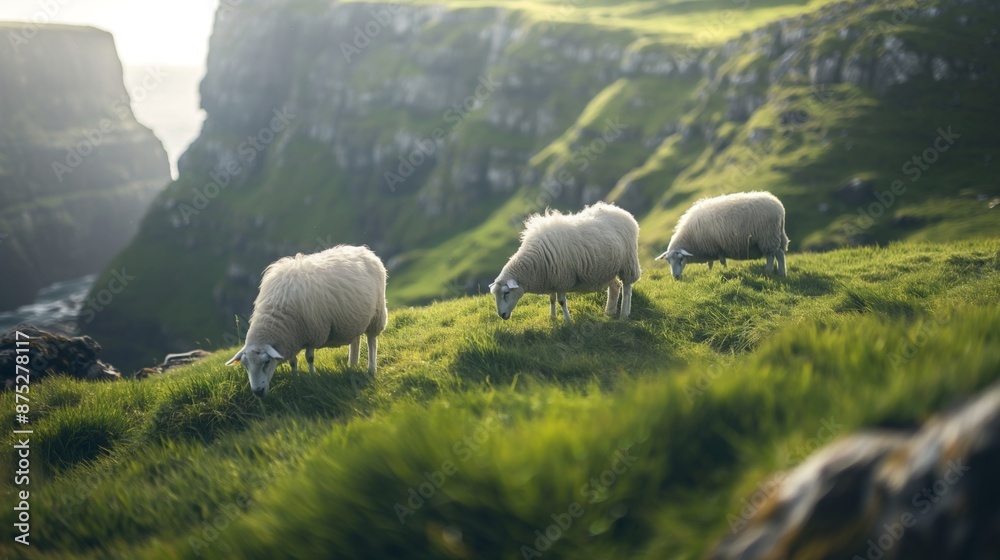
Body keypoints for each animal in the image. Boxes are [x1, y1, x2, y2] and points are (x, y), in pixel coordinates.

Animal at [226, 245, 388, 397]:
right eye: (245, 365)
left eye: (266, 362)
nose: (257, 392)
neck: (278, 313)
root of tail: (364, 250)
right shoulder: (291, 338)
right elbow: (293, 362)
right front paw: (295, 379)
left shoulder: (313, 333)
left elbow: (309, 358)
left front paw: (313, 378)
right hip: (353, 320)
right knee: (355, 340)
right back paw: (352, 365)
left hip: (376, 314)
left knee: (371, 341)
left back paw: (371, 368)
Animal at [490, 201, 641, 322]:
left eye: (506, 293)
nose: (501, 315)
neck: (534, 264)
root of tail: (622, 212)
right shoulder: (552, 279)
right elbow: (552, 299)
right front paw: (552, 318)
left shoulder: (562, 279)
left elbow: (562, 301)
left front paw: (568, 321)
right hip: (607, 269)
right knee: (615, 285)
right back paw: (609, 311)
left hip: (628, 262)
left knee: (627, 288)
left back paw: (624, 314)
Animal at [655, 191, 789, 280]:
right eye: (668, 261)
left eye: (681, 259)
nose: (676, 277)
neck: (690, 239)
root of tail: (779, 206)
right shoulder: (709, 250)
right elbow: (710, 263)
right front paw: (710, 273)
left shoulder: (717, 247)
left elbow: (722, 262)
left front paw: (726, 271)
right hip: (776, 236)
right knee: (780, 254)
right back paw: (782, 274)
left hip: (768, 237)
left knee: (772, 256)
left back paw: (769, 272)